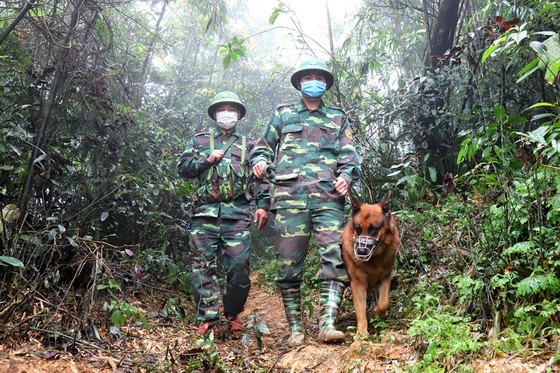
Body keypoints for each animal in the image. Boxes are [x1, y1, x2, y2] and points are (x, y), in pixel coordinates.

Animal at [340, 192, 400, 334]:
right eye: (358, 229)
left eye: (373, 229)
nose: (361, 251)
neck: (374, 259)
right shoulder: (358, 285)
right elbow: (360, 311)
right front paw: (362, 333)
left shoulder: (385, 278)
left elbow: (384, 304)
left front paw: (373, 312)